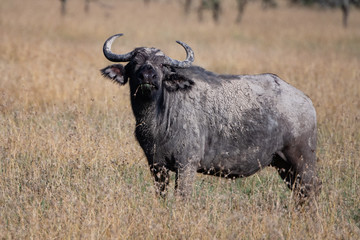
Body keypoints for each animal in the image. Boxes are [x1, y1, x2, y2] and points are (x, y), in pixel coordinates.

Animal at [100, 33, 320, 202]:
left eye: (162, 65)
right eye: (135, 62)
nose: (147, 77)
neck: (159, 120)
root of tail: (306, 101)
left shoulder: (186, 165)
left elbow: (182, 198)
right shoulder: (156, 166)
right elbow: (161, 195)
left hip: (303, 162)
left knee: (310, 191)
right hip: (284, 166)